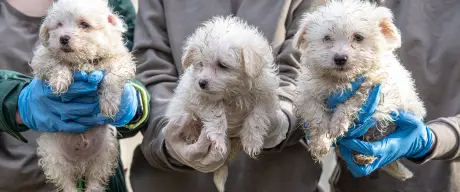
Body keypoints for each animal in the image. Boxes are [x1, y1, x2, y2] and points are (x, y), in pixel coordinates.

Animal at [29, 0, 135, 191]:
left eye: (84, 24)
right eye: (59, 25)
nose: (63, 38)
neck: (80, 62)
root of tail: (80, 164)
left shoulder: (120, 60)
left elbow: (112, 76)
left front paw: (109, 103)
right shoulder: (42, 59)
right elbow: (57, 62)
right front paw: (60, 80)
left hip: (105, 153)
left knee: (95, 179)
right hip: (53, 158)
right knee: (67, 182)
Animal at [165, 15, 280, 191]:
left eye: (222, 65)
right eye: (200, 64)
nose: (201, 83)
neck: (234, 93)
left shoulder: (264, 97)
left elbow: (257, 117)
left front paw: (252, 140)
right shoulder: (202, 98)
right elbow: (216, 117)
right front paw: (218, 138)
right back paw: (192, 135)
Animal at [292, 0, 426, 180]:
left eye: (358, 37)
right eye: (327, 38)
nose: (340, 58)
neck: (340, 81)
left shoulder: (375, 86)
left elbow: (353, 101)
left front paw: (338, 123)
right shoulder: (307, 93)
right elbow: (316, 115)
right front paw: (321, 141)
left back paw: (365, 156)